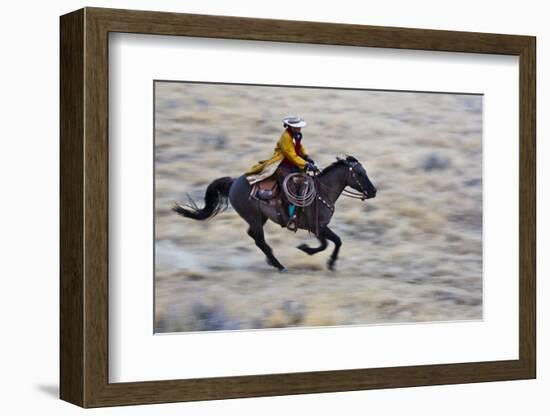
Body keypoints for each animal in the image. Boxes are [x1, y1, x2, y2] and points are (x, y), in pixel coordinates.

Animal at [175, 155, 378, 270]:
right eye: (359, 173)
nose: (373, 191)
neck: (322, 191)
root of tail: (233, 182)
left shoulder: (319, 228)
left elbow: (330, 243)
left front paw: (316, 254)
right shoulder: (318, 227)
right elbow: (333, 242)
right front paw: (322, 258)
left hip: (260, 218)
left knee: (254, 236)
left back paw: (271, 260)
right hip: (255, 218)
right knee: (259, 240)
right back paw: (279, 265)